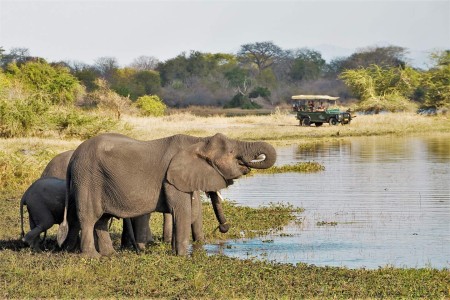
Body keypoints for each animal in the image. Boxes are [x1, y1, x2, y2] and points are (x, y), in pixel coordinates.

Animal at [58, 132, 276, 256]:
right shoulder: (171, 179)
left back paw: (110, 255)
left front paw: (174, 252)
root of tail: (73, 158)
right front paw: (182, 256)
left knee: (102, 220)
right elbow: (183, 211)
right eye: (231, 152)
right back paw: (92, 257)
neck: (198, 141)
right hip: (88, 178)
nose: (224, 228)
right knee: (89, 218)